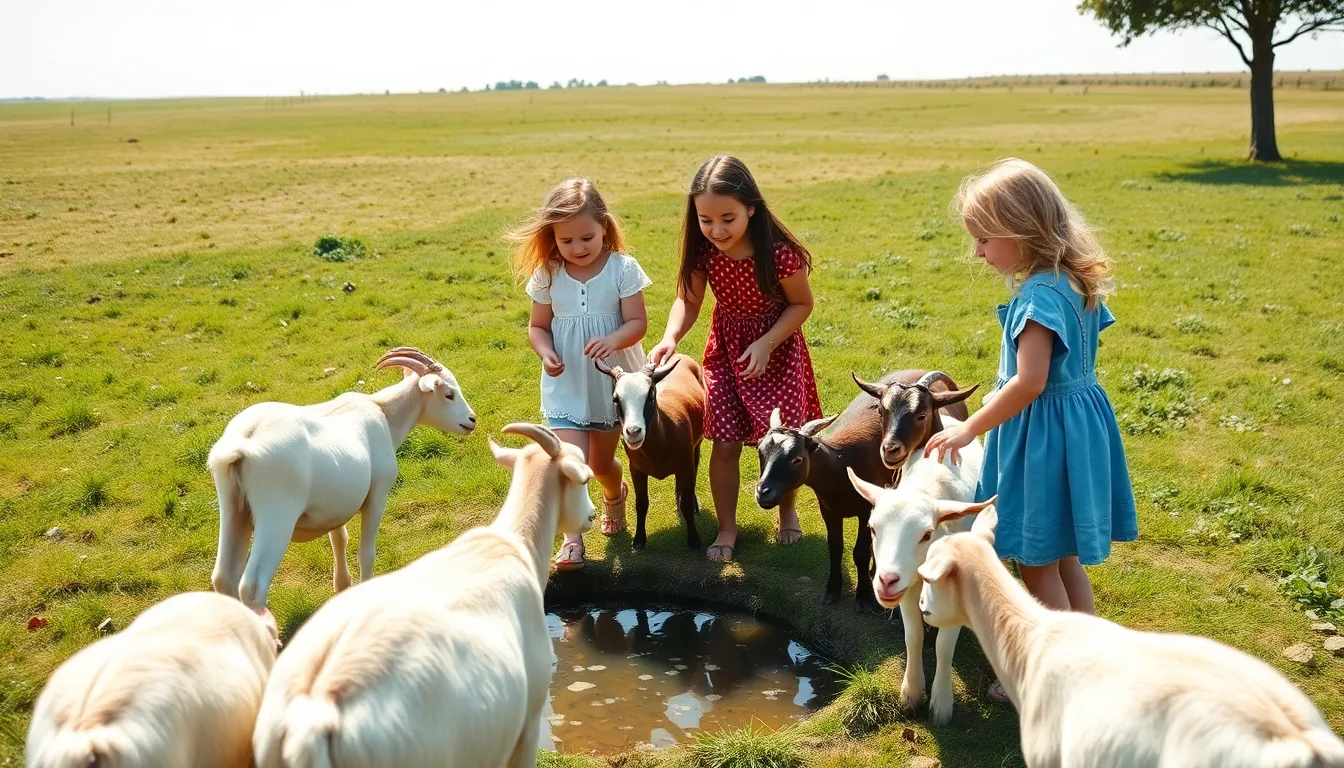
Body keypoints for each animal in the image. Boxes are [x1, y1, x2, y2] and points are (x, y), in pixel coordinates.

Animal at [208, 346, 476, 617]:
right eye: (449, 394)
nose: (471, 420)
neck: (383, 413)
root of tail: (244, 442)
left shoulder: (335, 506)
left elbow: (339, 538)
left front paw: (343, 585)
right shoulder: (377, 495)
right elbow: (366, 552)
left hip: (234, 509)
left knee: (223, 577)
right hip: (276, 515)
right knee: (251, 587)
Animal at [596, 354, 705, 551]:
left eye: (651, 395)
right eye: (615, 399)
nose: (633, 432)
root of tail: (679, 355)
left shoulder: (685, 465)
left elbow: (685, 503)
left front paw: (694, 540)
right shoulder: (636, 469)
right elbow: (641, 504)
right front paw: (639, 540)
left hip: (695, 448)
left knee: (694, 468)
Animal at [844, 406, 987, 725]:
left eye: (926, 534)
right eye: (872, 528)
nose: (886, 581)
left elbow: (944, 646)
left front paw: (941, 704)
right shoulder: (907, 589)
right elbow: (914, 636)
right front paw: (912, 693)